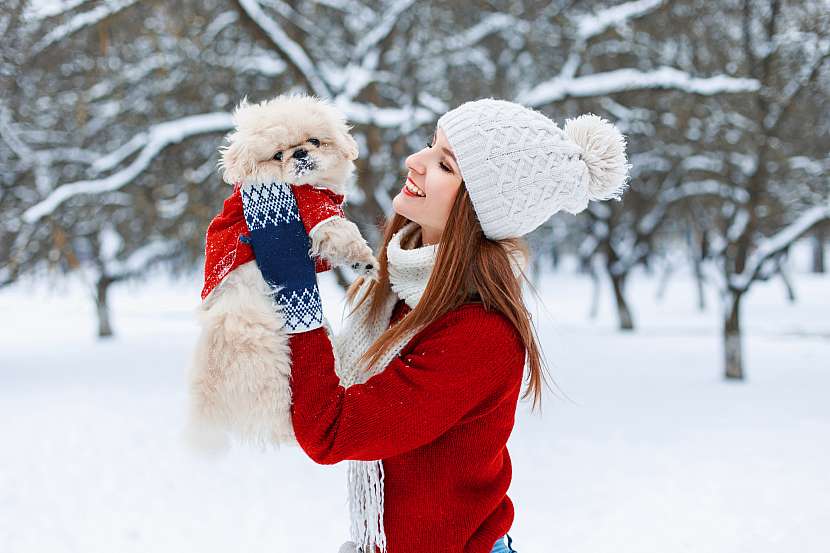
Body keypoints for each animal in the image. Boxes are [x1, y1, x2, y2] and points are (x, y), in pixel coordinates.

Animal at [187, 92, 378, 450]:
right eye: (278, 155)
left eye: (314, 141)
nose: (300, 153)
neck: (308, 185)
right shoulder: (316, 211)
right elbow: (343, 232)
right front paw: (366, 261)